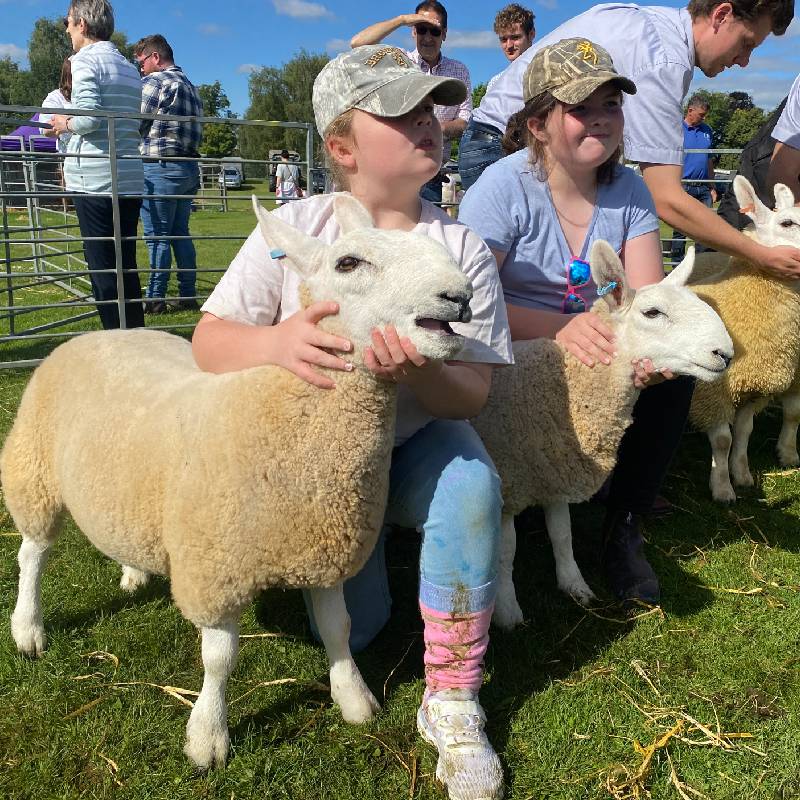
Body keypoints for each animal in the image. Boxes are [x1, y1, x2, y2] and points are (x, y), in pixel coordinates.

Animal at [0, 194, 473, 769]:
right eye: (348, 263)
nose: (459, 296)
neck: (284, 414)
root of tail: (100, 332)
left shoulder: (324, 548)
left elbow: (339, 628)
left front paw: (354, 699)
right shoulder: (215, 567)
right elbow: (220, 659)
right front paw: (208, 735)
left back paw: (133, 571)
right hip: (33, 469)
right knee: (32, 553)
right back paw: (28, 628)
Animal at [471, 241, 733, 629]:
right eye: (652, 313)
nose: (725, 354)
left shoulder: (556, 464)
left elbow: (562, 533)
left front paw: (574, 584)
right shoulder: (510, 480)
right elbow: (505, 552)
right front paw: (507, 611)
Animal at [688, 176, 800, 503]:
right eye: (787, 223)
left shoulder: (754, 387)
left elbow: (745, 432)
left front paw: (742, 473)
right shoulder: (711, 392)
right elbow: (723, 440)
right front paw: (723, 487)